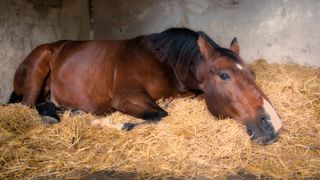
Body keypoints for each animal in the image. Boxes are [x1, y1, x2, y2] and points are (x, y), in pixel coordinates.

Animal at [8, 27, 282, 144]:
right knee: (28, 106)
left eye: (252, 74)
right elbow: (160, 116)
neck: (164, 62)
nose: (274, 124)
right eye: (225, 75)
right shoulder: (128, 98)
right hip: (37, 71)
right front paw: (106, 123)